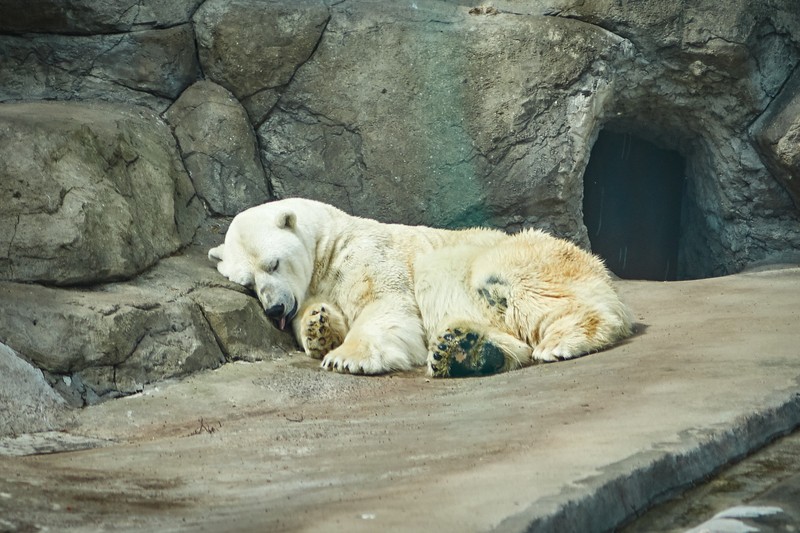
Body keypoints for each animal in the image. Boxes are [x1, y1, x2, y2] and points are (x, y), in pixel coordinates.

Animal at [209, 197, 636, 376]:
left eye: (273, 263)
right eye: (248, 283)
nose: (275, 309)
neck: (331, 243)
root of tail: (598, 267)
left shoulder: (371, 256)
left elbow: (385, 306)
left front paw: (348, 358)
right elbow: (323, 311)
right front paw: (318, 326)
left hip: (529, 255)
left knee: (503, 282)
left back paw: (562, 341)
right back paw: (465, 350)